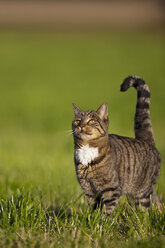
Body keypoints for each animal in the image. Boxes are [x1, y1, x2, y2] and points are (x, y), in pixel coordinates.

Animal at [72, 75, 162, 213]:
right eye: (77, 121)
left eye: (91, 121)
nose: (81, 125)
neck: (87, 149)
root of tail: (146, 140)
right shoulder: (88, 188)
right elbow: (93, 208)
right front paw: (90, 218)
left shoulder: (111, 188)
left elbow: (107, 210)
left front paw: (103, 219)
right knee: (157, 200)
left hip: (142, 192)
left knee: (146, 208)